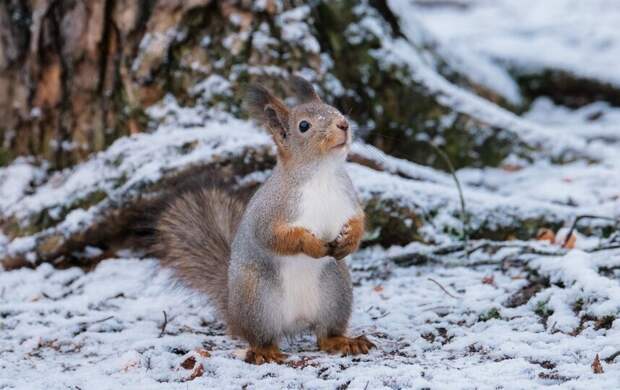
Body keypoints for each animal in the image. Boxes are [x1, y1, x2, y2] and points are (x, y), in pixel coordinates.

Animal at [157, 77, 376, 366]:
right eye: (303, 126)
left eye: (335, 108)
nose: (344, 124)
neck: (322, 174)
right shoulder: (269, 213)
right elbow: (275, 237)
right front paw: (312, 245)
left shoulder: (349, 201)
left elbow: (360, 221)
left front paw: (349, 239)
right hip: (258, 299)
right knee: (262, 337)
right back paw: (265, 351)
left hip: (336, 292)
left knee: (324, 335)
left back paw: (344, 341)